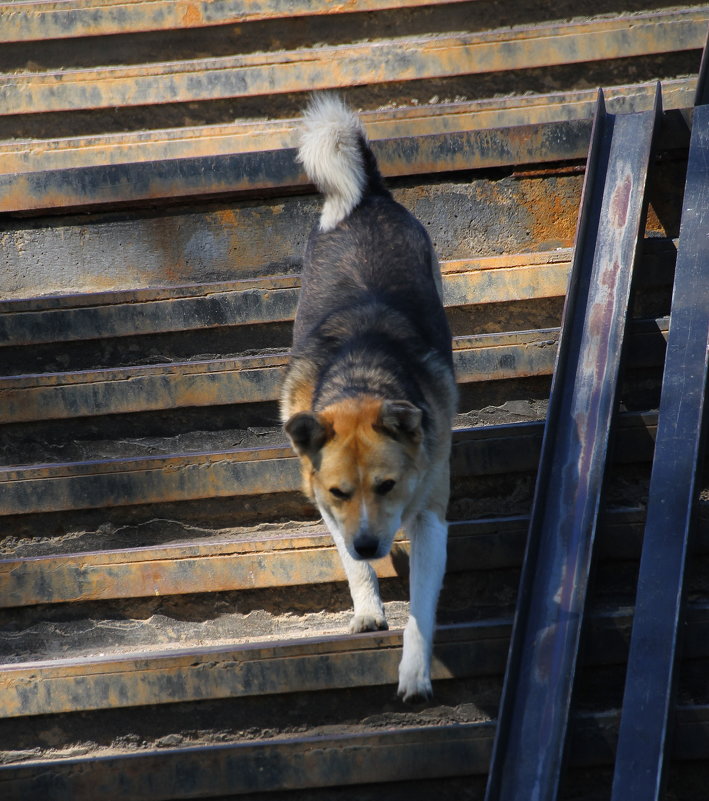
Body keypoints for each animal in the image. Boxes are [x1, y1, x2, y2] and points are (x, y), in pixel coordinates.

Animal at [280, 97, 456, 704]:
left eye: (387, 485)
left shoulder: (430, 516)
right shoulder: (321, 498)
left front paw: (416, 672)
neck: (362, 379)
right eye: (340, 490)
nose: (366, 543)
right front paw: (368, 611)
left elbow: (423, 605)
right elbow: (353, 568)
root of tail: (368, 197)